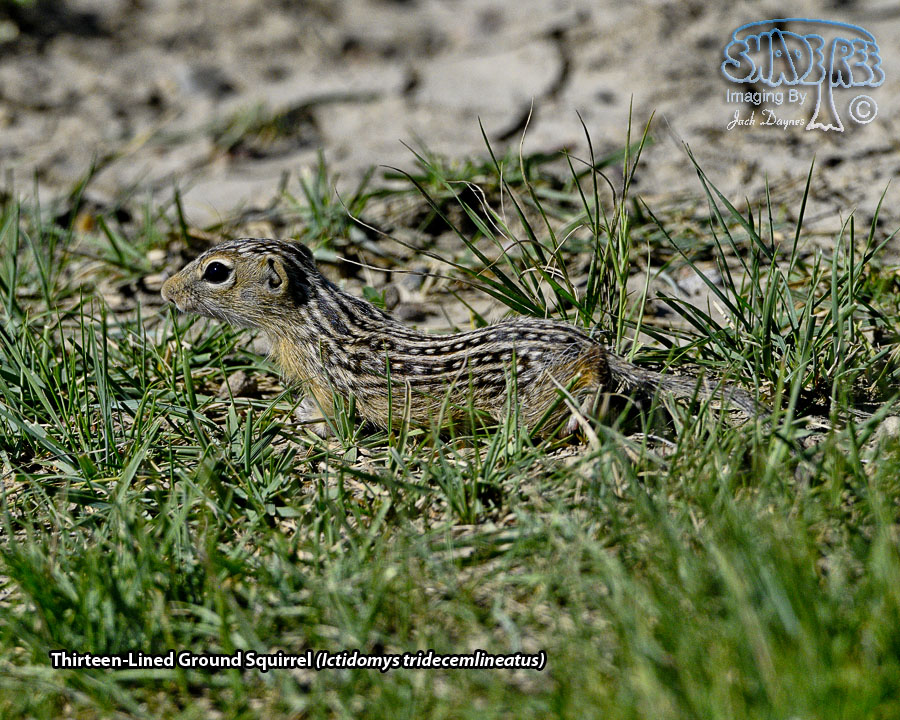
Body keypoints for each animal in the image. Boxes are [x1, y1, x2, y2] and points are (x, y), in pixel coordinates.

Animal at [161, 238, 757, 435]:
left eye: (216, 271)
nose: (165, 291)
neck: (313, 315)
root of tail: (590, 344)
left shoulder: (330, 385)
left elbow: (335, 422)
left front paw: (300, 422)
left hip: (539, 396)